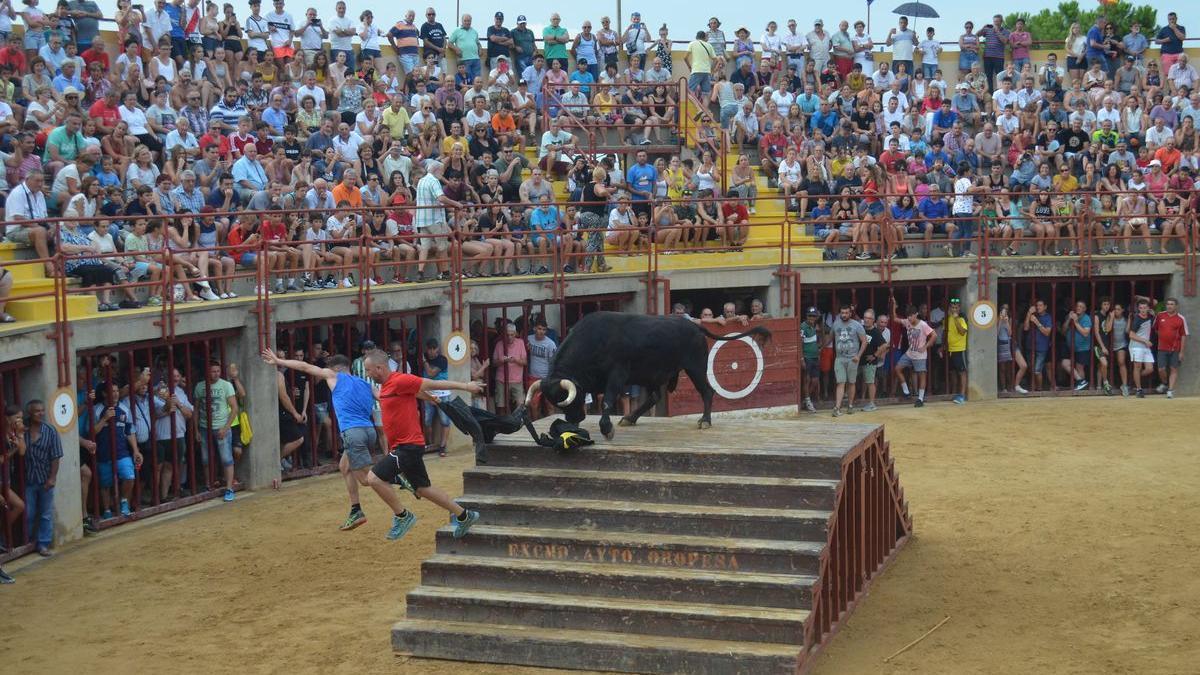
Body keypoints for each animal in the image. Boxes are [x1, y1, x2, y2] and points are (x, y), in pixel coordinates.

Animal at [523, 309, 768, 437]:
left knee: (707, 391)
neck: (593, 341)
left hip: (696, 367)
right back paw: (629, 418)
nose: (575, 419)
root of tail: (696, 326)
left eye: (565, 397)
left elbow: (607, 401)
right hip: (652, 375)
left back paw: (705, 421)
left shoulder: (617, 375)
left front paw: (607, 429)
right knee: (654, 396)